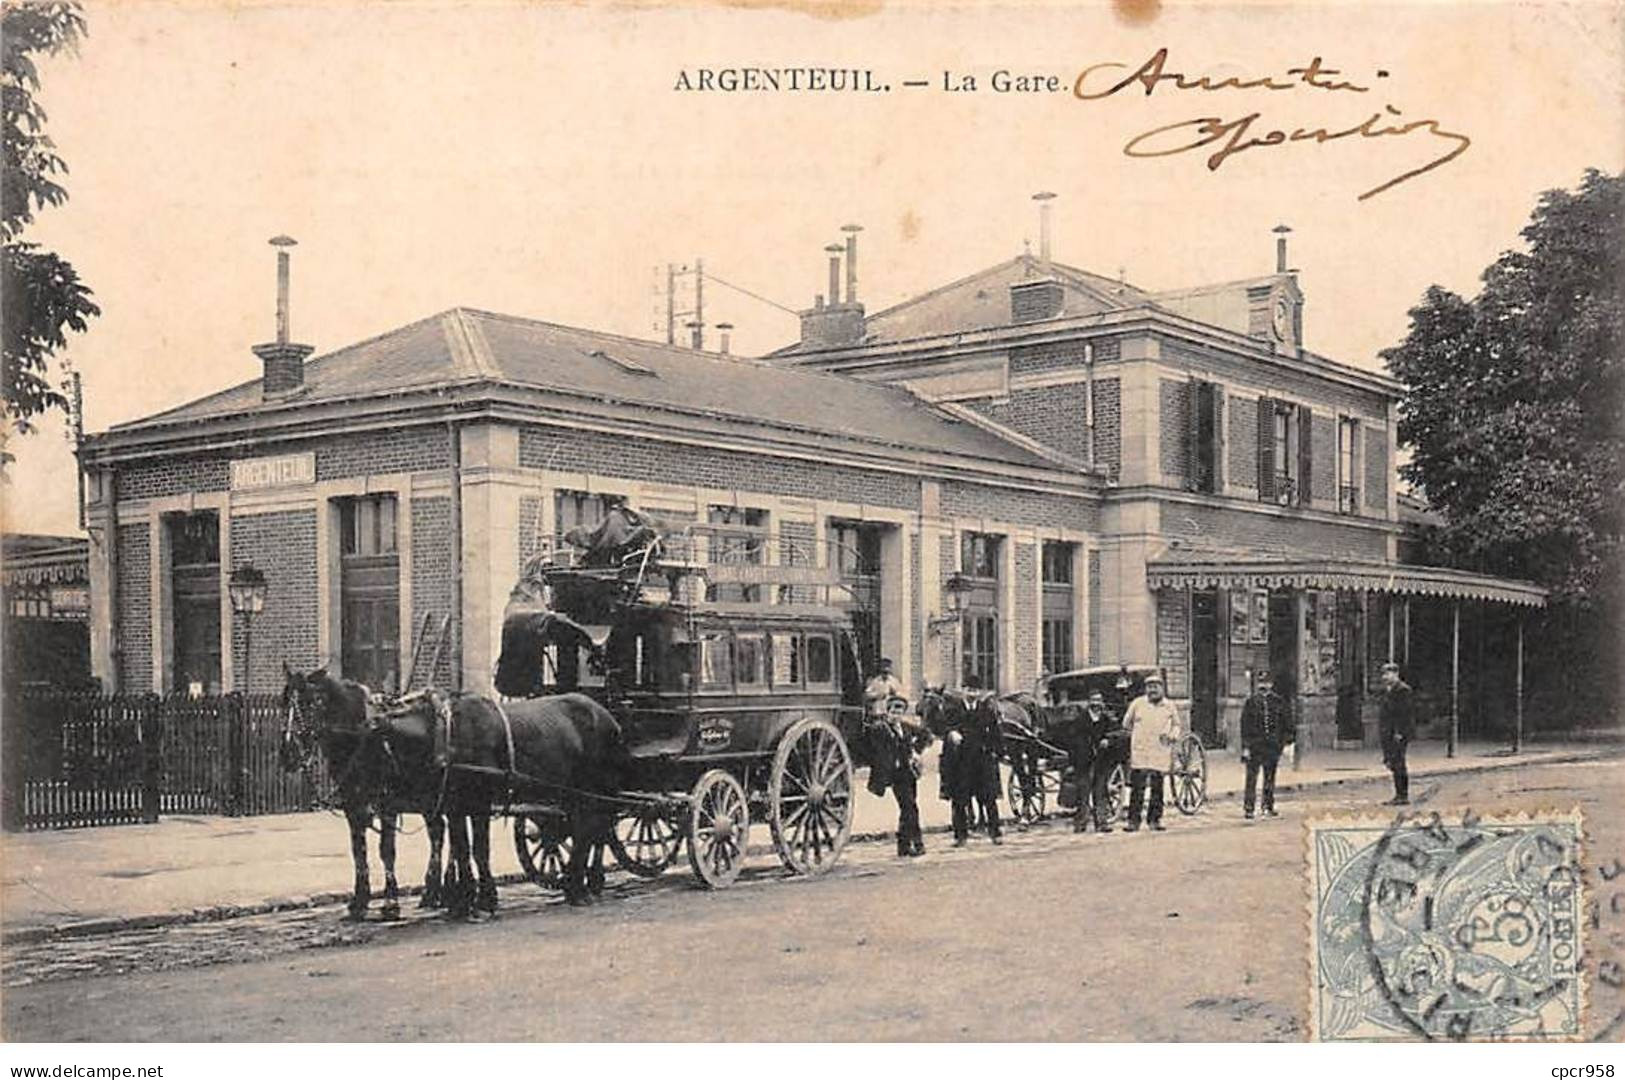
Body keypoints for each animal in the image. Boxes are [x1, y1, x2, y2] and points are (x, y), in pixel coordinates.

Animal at [279, 665, 445, 915]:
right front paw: (360, 900)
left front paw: (390, 901)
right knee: (438, 833)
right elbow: (358, 850)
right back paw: (432, 893)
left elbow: (387, 850)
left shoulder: (387, 804)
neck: (359, 736)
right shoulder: (352, 804)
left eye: (310, 703)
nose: (288, 753)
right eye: (283, 702)